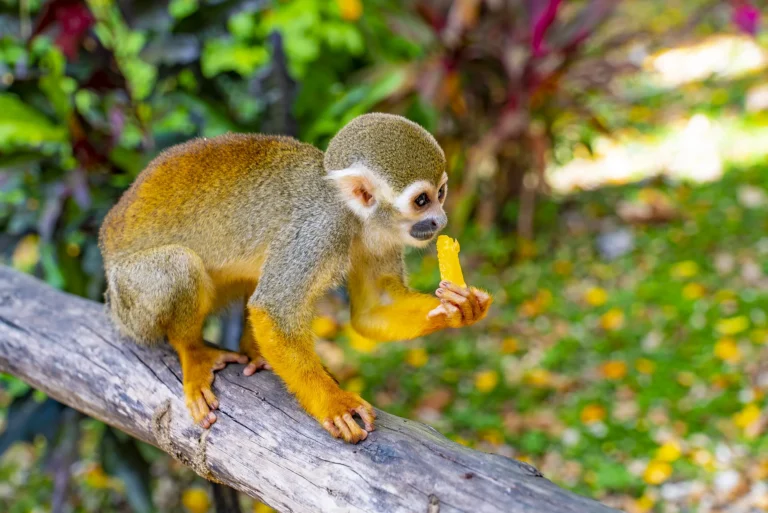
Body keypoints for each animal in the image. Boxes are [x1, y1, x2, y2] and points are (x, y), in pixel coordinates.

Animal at [98, 113, 492, 443]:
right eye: (422, 200)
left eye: (441, 193)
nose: (440, 220)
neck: (352, 215)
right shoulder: (318, 231)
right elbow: (273, 310)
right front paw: (334, 404)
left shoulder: (381, 236)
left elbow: (372, 310)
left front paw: (458, 308)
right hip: (129, 304)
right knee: (178, 266)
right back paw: (192, 351)